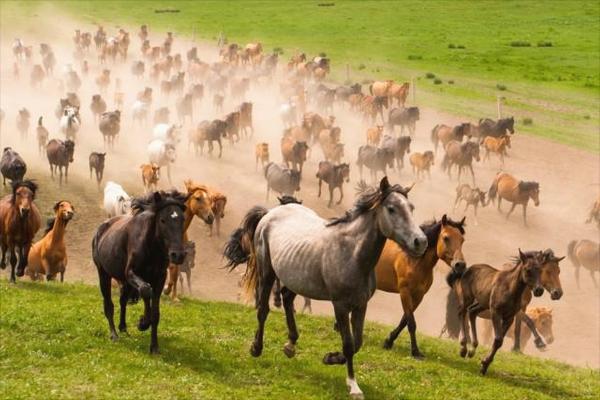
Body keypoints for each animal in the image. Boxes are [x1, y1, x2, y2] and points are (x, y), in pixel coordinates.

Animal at [90, 191, 185, 354]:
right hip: (104, 274)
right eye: (162, 220)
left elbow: (155, 313)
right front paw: (142, 323)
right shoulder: (131, 273)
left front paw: (154, 347)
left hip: (124, 281)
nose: (178, 255)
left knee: (122, 300)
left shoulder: (159, 278)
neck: (151, 247)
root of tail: (100, 230)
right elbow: (146, 290)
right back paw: (114, 334)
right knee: (109, 304)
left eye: (183, 219)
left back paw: (123, 327)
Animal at [224, 177, 426, 398]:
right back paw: (256, 348)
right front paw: (353, 385)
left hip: (296, 277)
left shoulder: (361, 304)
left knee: (287, 299)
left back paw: (290, 345)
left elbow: (357, 342)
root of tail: (270, 212)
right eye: (391, 209)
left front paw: (330, 357)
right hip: (267, 272)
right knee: (263, 310)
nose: (420, 242)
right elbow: (348, 344)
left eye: (411, 208)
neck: (352, 254)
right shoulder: (340, 305)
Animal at [376, 217, 468, 358]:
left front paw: (388, 341)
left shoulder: (418, 296)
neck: (414, 261)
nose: (460, 265)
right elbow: (411, 323)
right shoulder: (405, 292)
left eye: (462, 240)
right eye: (446, 238)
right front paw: (415, 352)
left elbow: (404, 321)